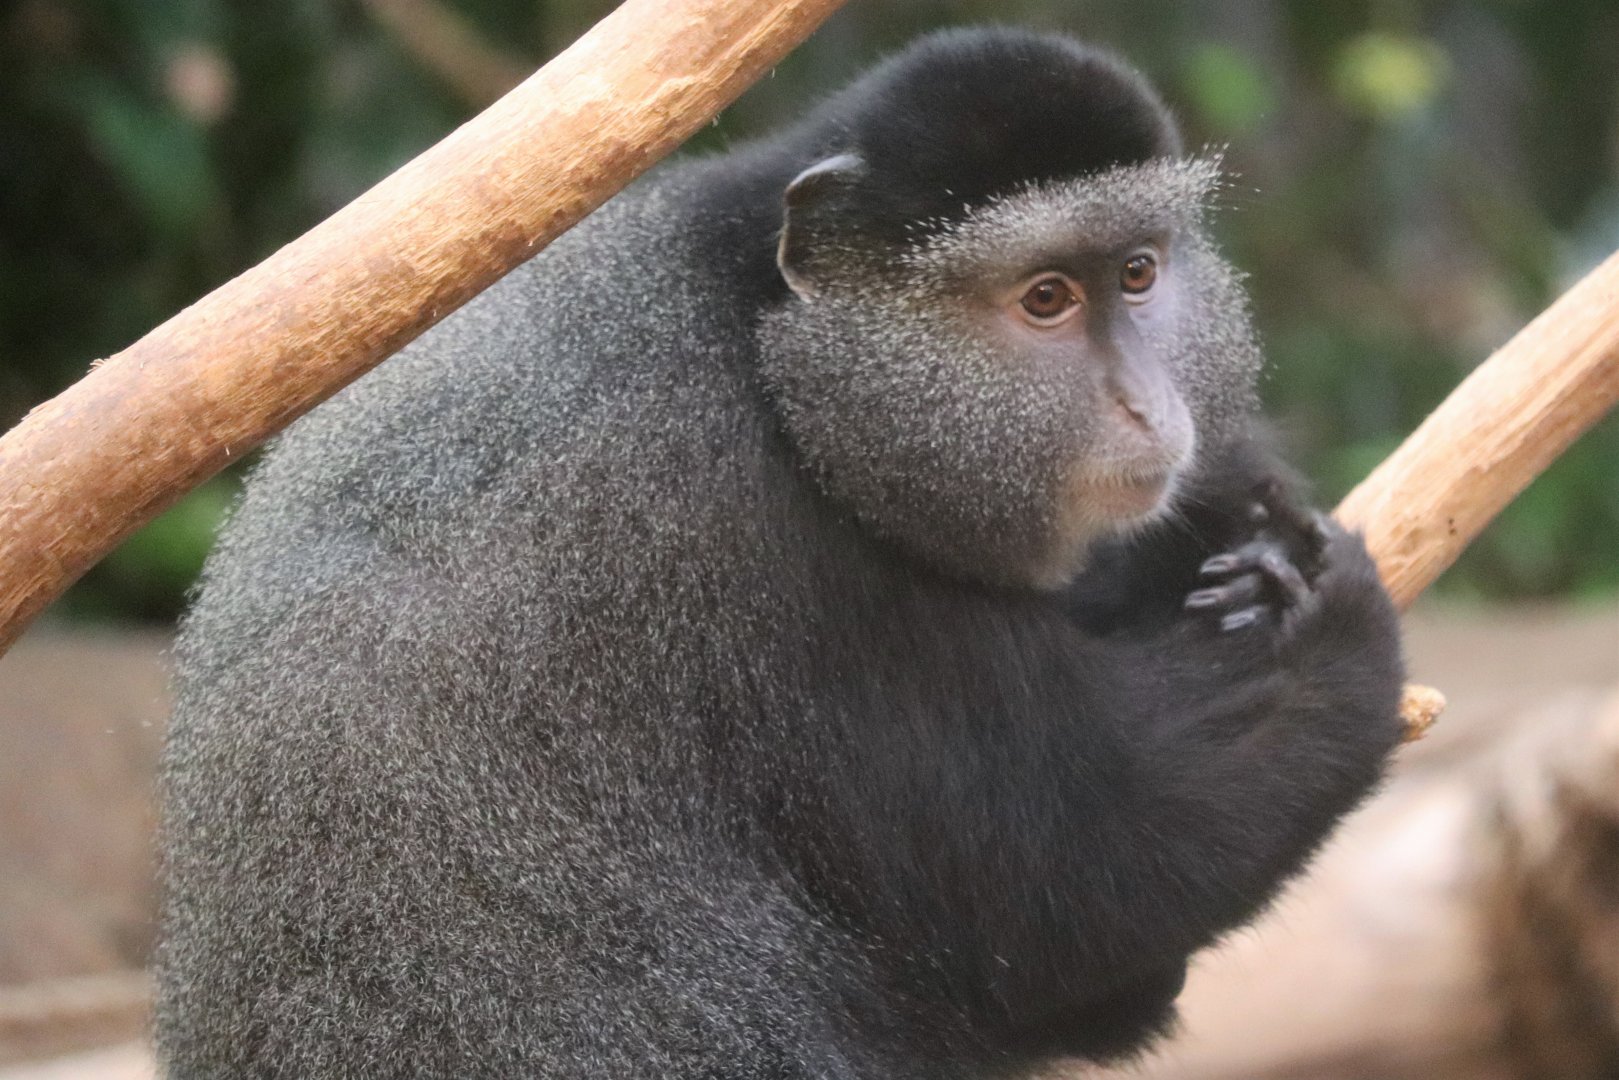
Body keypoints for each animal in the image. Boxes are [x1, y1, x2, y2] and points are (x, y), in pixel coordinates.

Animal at [154, 27, 1406, 1080]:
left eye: (1137, 275)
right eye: (1045, 299)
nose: (1150, 411)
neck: (770, 344)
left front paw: (1241, 515)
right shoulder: (767, 561)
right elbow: (1076, 886)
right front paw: (1336, 618)